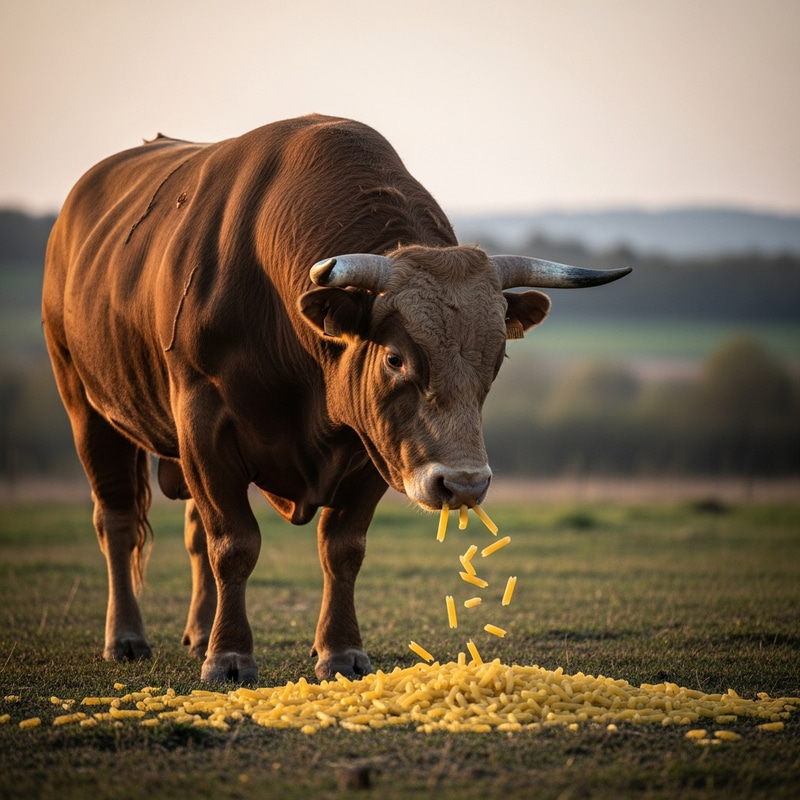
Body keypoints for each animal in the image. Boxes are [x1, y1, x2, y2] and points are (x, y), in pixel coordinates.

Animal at [42, 114, 630, 684]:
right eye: (394, 358)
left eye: (497, 359)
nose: (463, 485)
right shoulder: (205, 427)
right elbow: (233, 543)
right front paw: (228, 656)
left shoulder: (373, 446)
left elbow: (342, 548)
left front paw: (340, 651)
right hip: (86, 407)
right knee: (118, 520)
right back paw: (126, 638)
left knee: (190, 532)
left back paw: (199, 631)